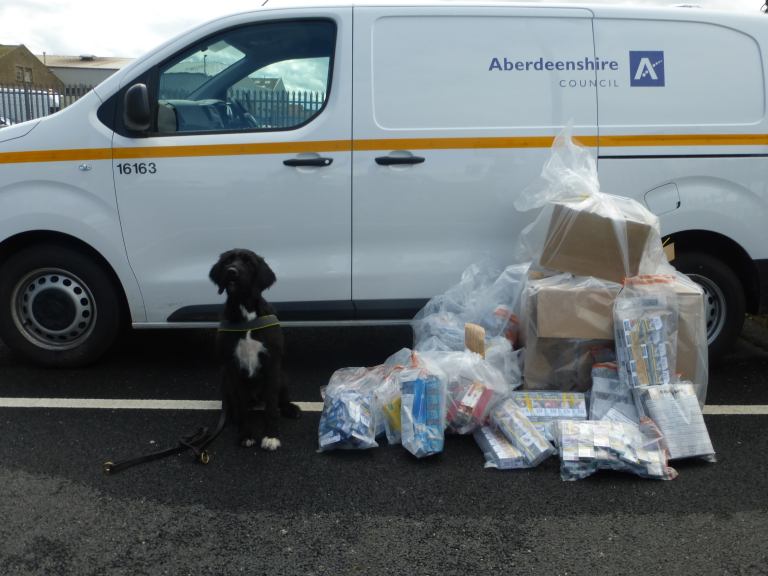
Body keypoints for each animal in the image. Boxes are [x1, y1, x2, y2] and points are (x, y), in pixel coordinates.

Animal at [208, 248, 302, 450]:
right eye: (227, 261)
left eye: (248, 262)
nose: (231, 272)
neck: (246, 314)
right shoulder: (233, 370)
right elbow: (242, 407)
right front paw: (245, 434)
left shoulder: (272, 365)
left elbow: (272, 407)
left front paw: (271, 436)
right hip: (225, 381)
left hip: (282, 376)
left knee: (281, 399)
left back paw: (291, 408)